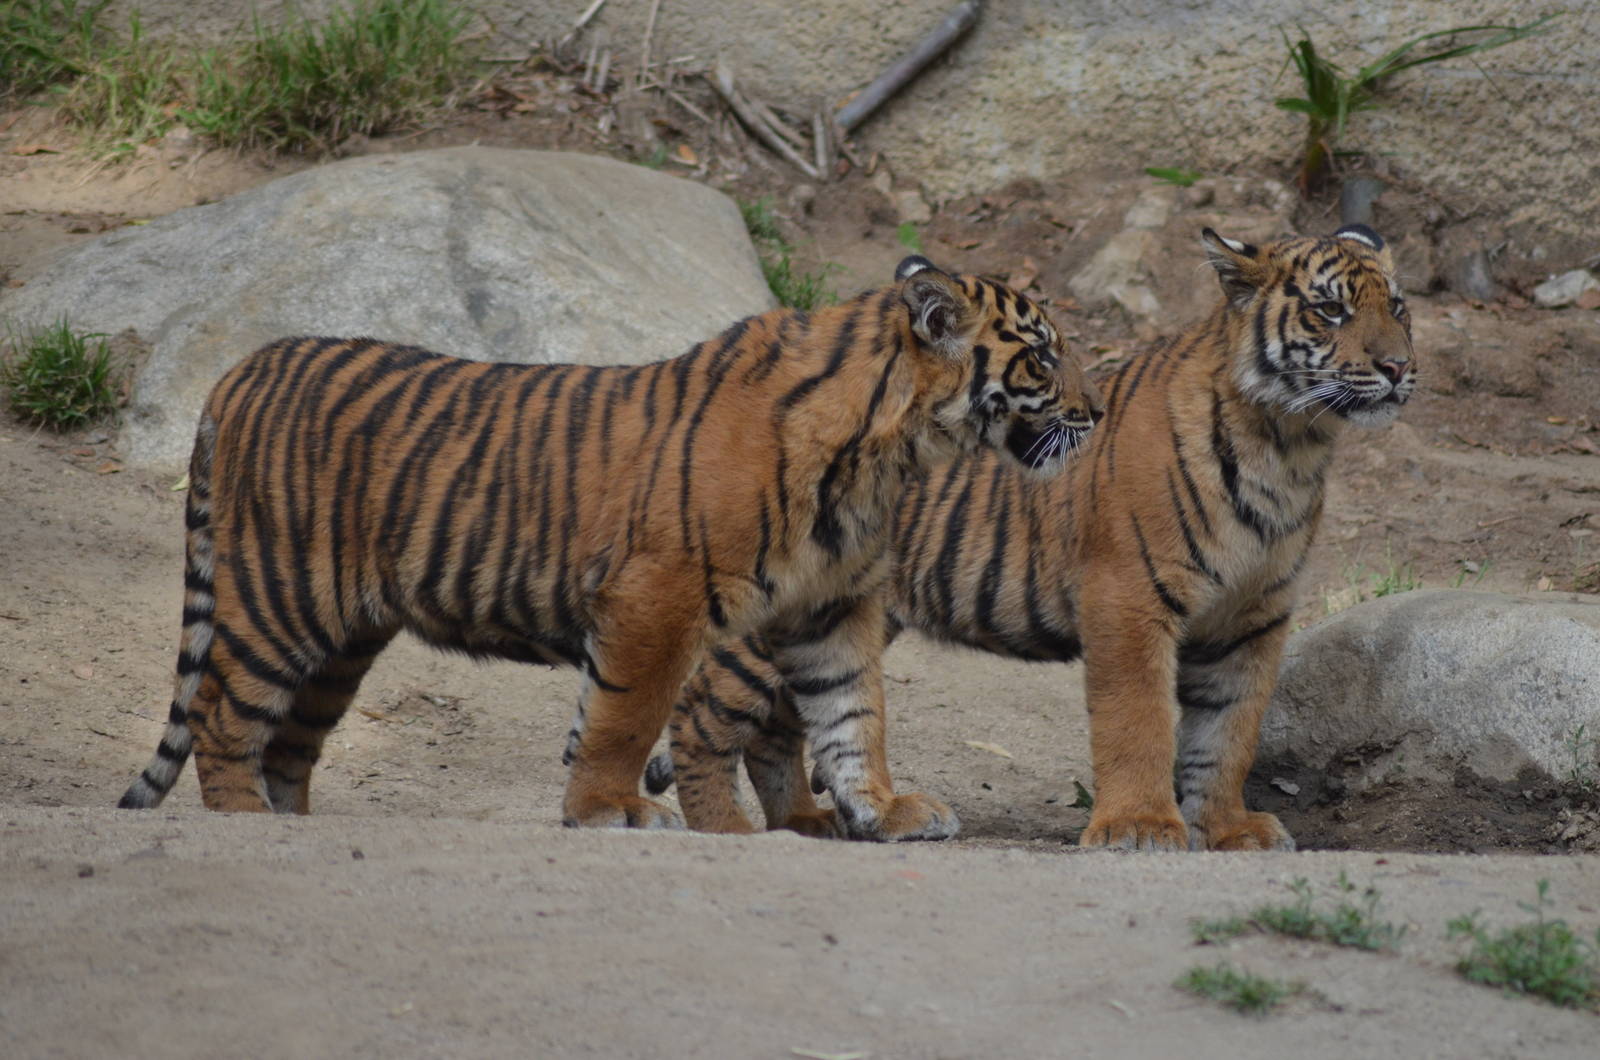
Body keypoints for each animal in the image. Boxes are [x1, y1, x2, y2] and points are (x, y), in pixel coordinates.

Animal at [115, 254, 1102, 841]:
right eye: (1044, 357)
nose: (1094, 416)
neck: (893, 446)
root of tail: (241, 369)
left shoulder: (831, 608)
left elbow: (854, 715)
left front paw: (886, 807)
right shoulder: (657, 596)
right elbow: (626, 716)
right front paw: (613, 810)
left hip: (346, 637)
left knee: (290, 742)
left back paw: (296, 827)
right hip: (283, 597)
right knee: (223, 718)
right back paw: (245, 825)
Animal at [646, 225, 1416, 850]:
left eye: (1399, 309)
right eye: (1331, 311)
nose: (1399, 368)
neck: (1289, 444)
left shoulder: (1253, 617)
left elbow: (1230, 732)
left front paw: (1228, 829)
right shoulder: (1128, 598)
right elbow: (1139, 719)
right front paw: (1140, 827)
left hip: (830, 616)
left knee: (780, 725)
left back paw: (814, 823)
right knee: (700, 711)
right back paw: (728, 829)